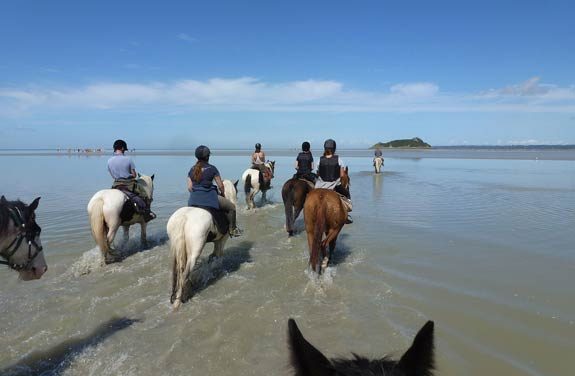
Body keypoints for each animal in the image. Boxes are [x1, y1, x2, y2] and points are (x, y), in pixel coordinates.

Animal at [166, 179, 238, 308]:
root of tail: (184, 218)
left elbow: (213, 256)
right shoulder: (222, 240)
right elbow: (218, 256)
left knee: (179, 272)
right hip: (195, 251)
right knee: (184, 274)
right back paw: (179, 302)